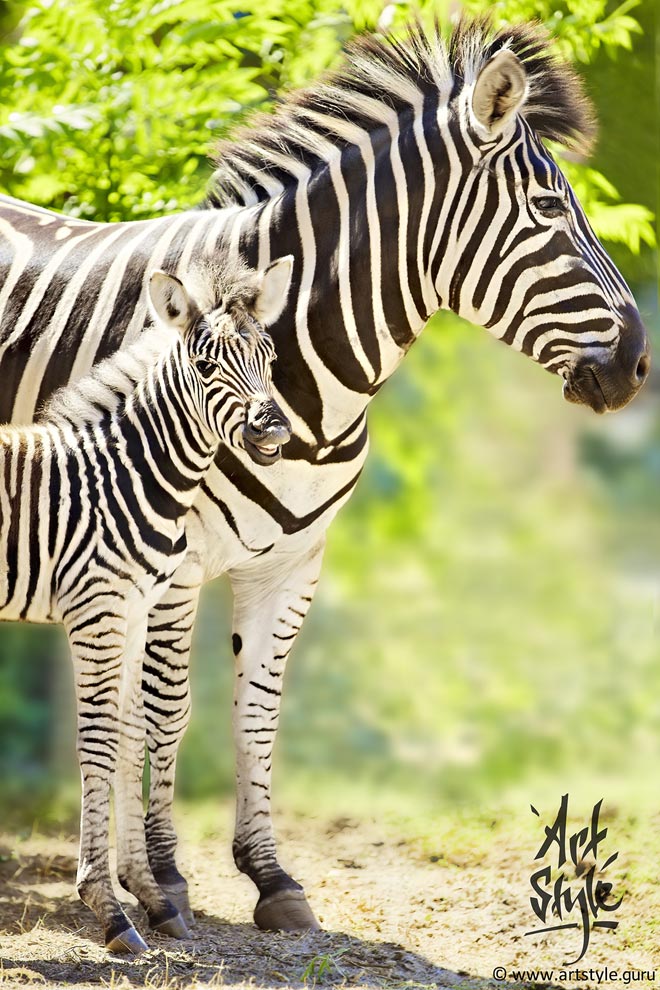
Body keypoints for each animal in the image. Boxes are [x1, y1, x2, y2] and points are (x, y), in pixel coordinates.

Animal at [0, 254, 293, 952]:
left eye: (270, 356)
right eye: (208, 366)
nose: (275, 428)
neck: (128, 474)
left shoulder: (134, 611)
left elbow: (132, 732)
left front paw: (153, 898)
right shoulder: (96, 612)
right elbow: (99, 739)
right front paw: (108, 908)